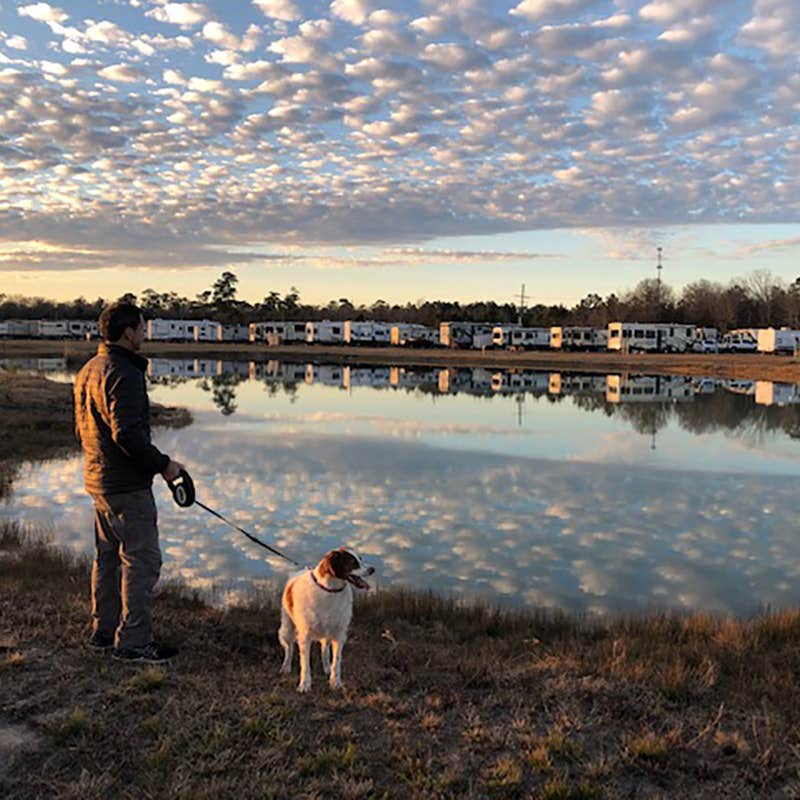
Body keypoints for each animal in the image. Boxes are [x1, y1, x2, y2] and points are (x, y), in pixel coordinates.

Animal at [280, 548, 374, 692]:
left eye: (360, 558)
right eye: (353, 562)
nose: (372, 569)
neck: (330, 590)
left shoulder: (339, 634)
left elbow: (337, 660)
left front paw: (335, 682)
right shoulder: (305, 635)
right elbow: (305, 663)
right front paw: (305, 684)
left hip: (327, 632)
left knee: (324, 649)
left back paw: (327, 668)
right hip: (287, 629)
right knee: (289, 649)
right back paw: (286, 666)